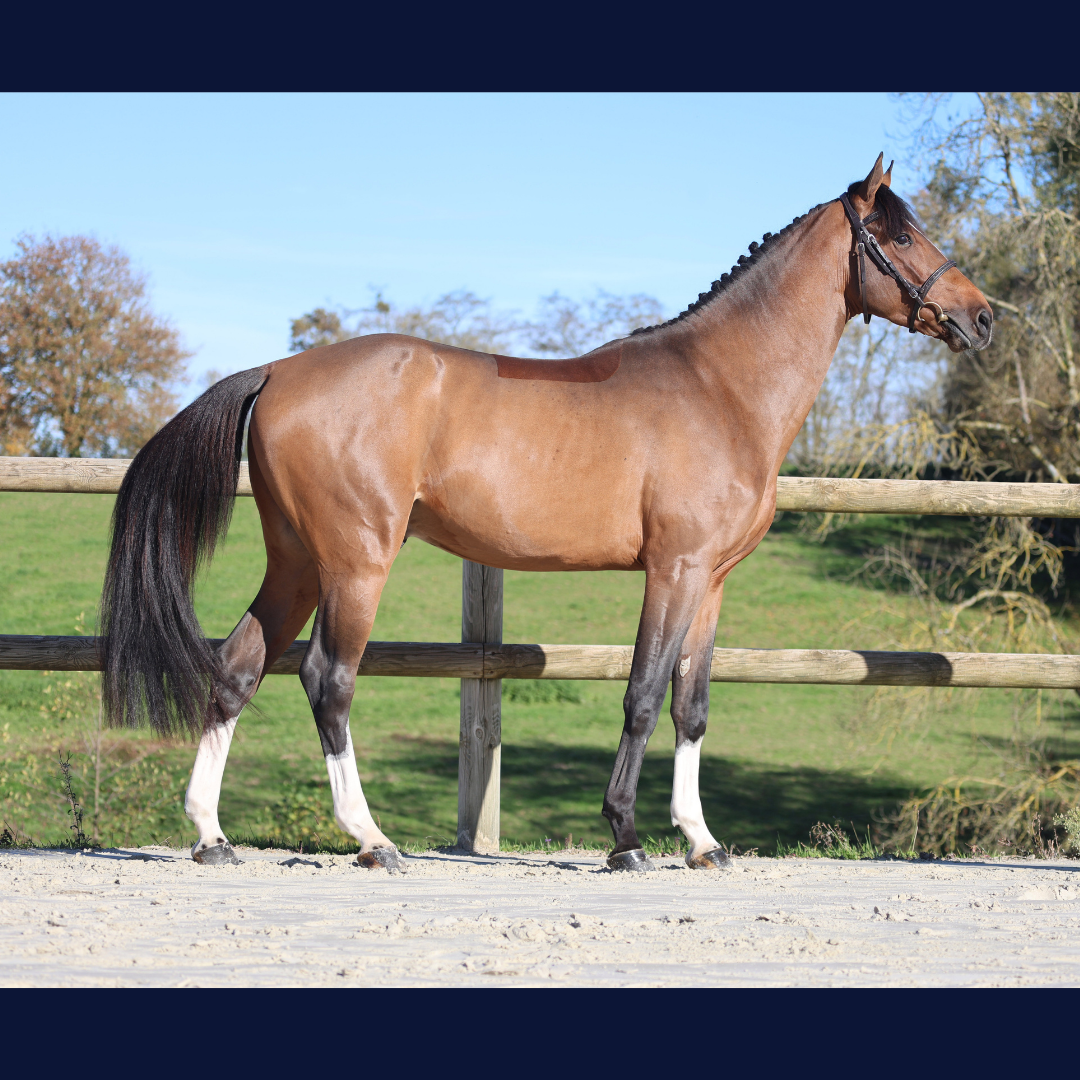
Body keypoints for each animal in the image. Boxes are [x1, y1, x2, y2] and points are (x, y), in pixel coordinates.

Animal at [101, 154, 993, 872]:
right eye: (900, 236)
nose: (981, 317)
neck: (719, 386)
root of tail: (280, 371)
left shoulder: (711, 582)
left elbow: (693, 706)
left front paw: (702, 842)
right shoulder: (672, 570)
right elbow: (642, 695)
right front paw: (626, 839)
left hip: (295, 562)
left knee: (236, 669)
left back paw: (211, 836)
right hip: (355, 562)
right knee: (329, 680)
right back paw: (372, 840)